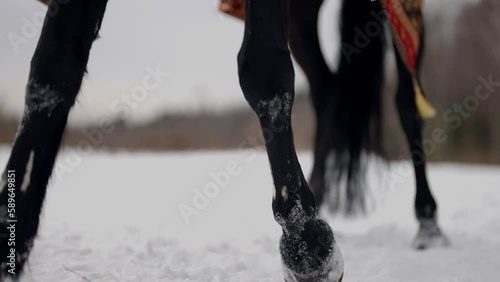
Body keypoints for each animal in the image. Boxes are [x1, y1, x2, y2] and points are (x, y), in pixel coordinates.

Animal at [0, 0, 450, 280]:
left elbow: (263, 68)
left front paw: (306, 246)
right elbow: (53, 68)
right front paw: (12, 235)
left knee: (406, 99)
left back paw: (428, 223)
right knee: (326, 90)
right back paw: (320, 191)